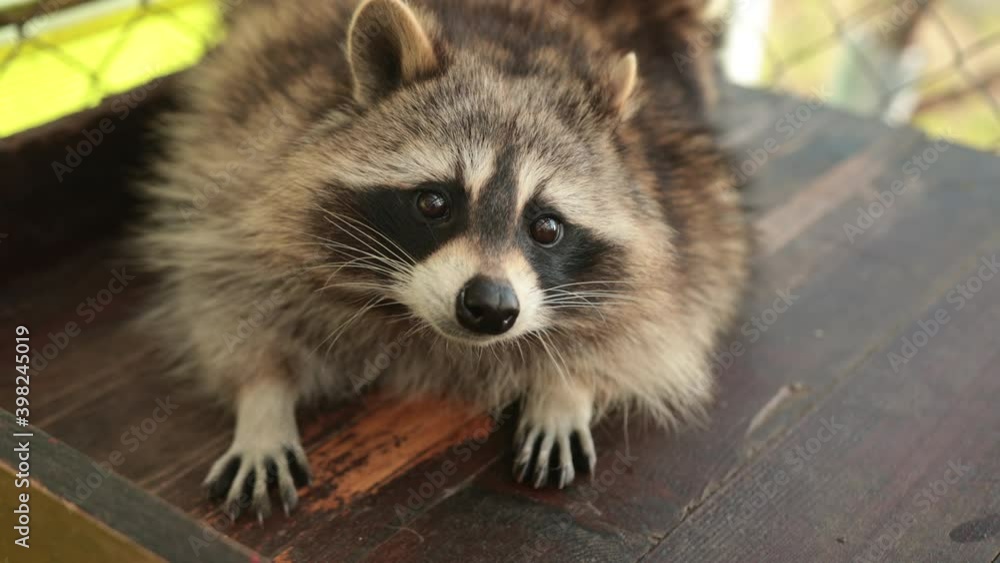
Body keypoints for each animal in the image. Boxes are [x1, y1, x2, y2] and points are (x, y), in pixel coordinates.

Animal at [138, 0, 749, 520]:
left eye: (546, 227)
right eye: (434, 203)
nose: (490, 306)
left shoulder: (685, 215)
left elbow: (660, 323)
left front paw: (566, 387)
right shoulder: (243, 168)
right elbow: (229, 294)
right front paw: (262, 398)